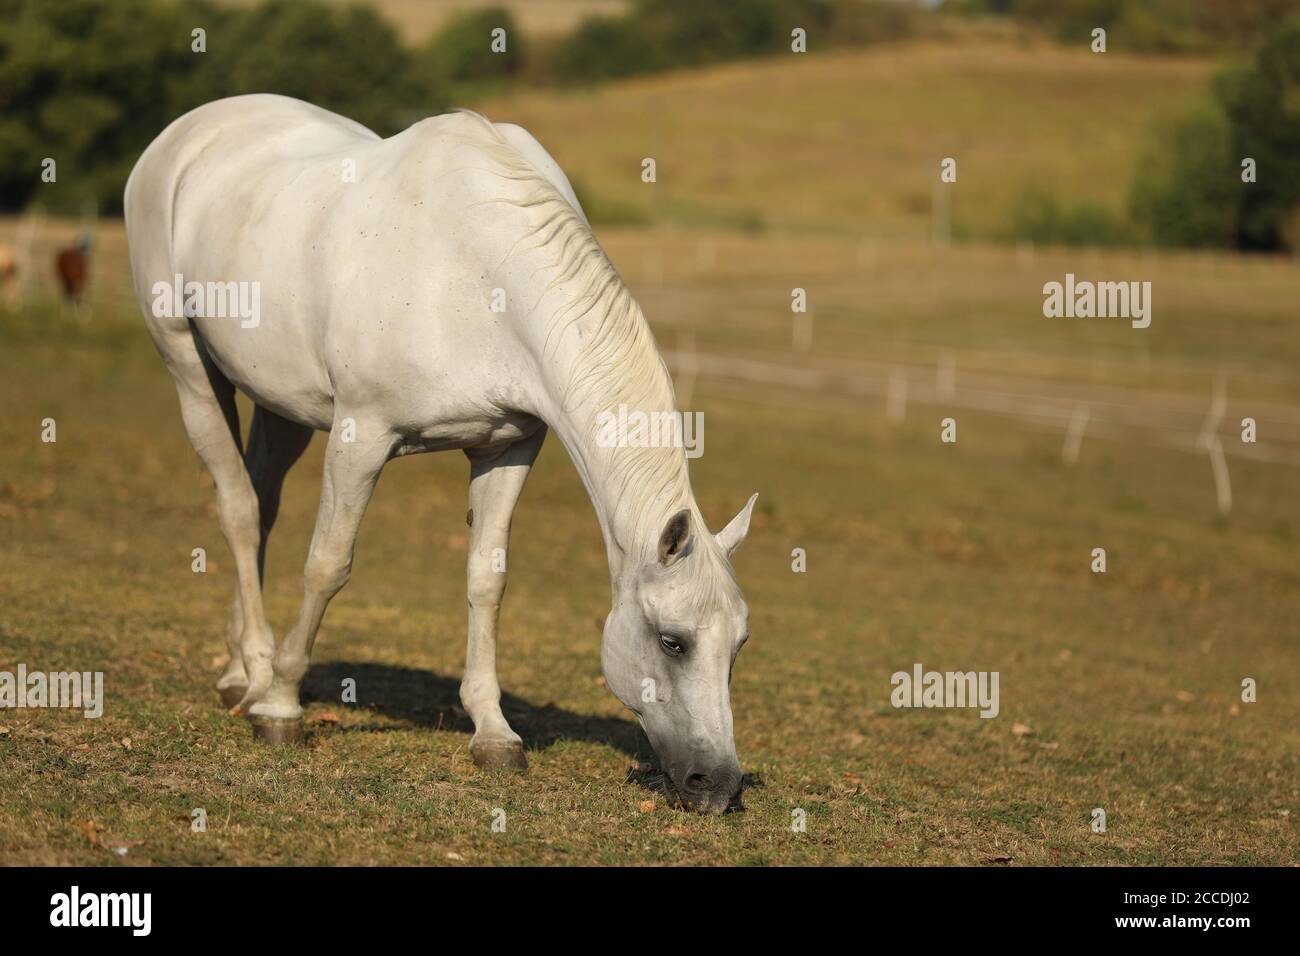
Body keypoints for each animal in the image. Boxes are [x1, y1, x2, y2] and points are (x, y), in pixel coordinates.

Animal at [124, 94, 758, 814]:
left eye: (739, 643)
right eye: (672, 642)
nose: (720, 784)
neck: (479, 274)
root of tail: (188, 132)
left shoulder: (507, 446)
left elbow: (487, 579)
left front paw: (493, 732)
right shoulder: (361, 436)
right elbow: (328, 565)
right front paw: (282, 705)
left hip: (283, 406)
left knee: (260, 505)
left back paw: (238, 673)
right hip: (189, 367)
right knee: (236, 508)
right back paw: (258, 670)